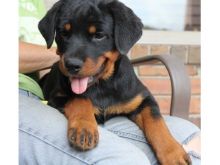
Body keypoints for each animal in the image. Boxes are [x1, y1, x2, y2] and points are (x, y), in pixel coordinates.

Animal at [37, 0, 191, 164]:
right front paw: (84, 128)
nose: (72, 65)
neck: (102, 85)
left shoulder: (142, 99)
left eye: (99, 35)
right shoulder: (56, 97)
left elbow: (156, 121)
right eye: (64, 33)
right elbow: (79, 99)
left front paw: (173, 153)